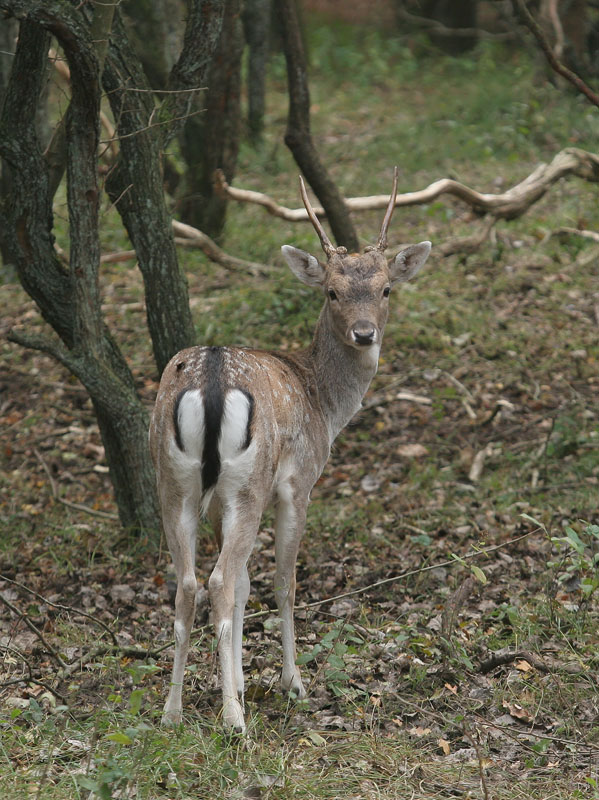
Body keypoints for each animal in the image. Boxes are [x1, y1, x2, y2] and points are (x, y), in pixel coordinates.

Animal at [150, 170, 432, 732]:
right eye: (332, 291)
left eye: (385, 288)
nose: (364, 333)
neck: (322, 402)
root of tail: (210, 380)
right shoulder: (297, 482)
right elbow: (282, 581)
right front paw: (291, 683)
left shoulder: (221, 500)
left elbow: (245, 586)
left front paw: (238, 681)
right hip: (248, 483)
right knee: (218, 581)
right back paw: (234, 722)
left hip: (176, 482)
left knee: (190, 583)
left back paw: (172, 712)